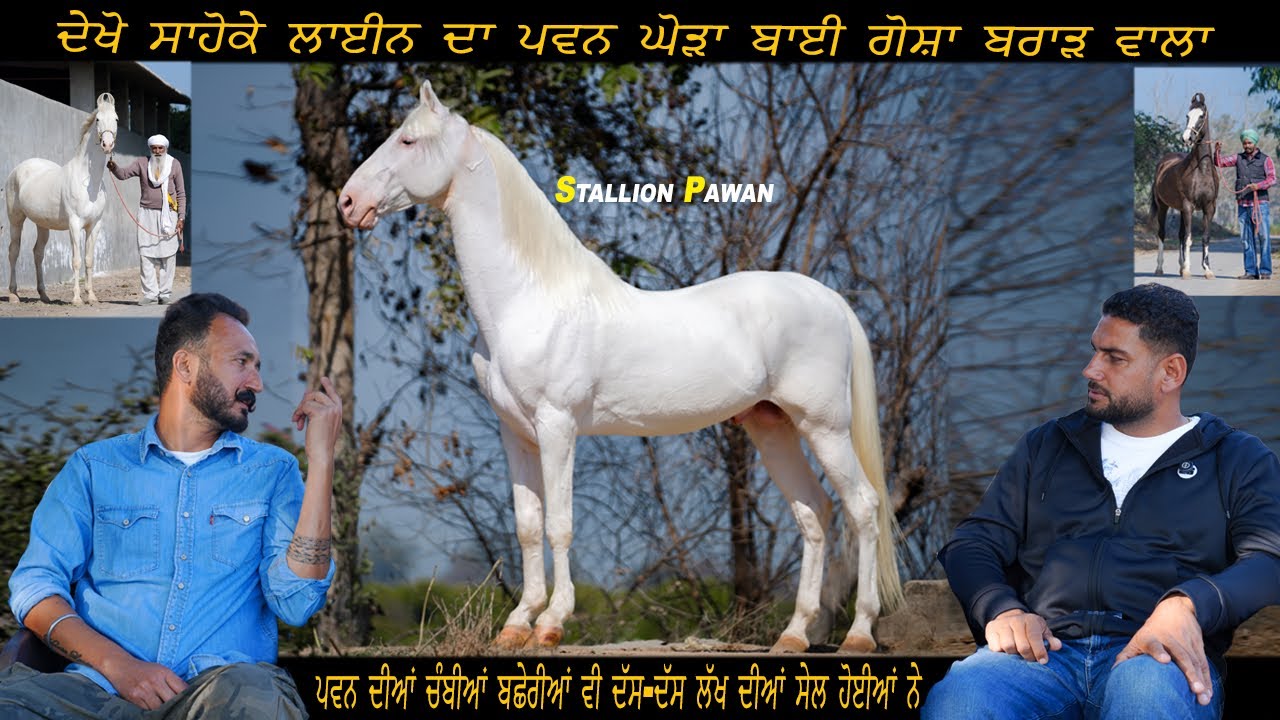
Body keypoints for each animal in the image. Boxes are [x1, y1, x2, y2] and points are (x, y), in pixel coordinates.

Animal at [5, 92, 118, 305]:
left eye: (116, 119)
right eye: (98, 120)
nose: (107, 145)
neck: (88, 181)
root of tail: (17, 169)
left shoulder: (94, 225)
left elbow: (89, 260)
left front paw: (92, 297)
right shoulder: (74, 224)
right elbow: (76, 261)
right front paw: (76, 299)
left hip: (42, 224)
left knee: (38, 253)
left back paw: (44, 295)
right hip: (16, 220)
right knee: (14, 251)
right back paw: (13, 295)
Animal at [338, 80, 904, 654]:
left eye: (408, 141)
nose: (348, 202)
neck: (529, 298)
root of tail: (830, 300)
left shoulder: (557, 426)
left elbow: (560, 524)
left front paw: (551, 623)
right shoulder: (515, 434)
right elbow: (528, 525)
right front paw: (517, 623)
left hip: (824, 426)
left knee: (863, 507)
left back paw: (859, 633)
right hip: (773, 426)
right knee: (814, 513)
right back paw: (792, 635)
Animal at [1151, 92, 1218, 279]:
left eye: (1201, 116)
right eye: (1188, 116)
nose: (1187, 138)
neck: (1201, 170)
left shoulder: (1209, 207)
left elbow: (1205, 237)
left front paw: (1207, 270)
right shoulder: (1188, 206)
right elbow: (1189, 237)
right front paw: (1188, 270)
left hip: (1180, 210)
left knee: (1180, 235)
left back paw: (1180, 267)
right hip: (1163, 206)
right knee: (1162, 233)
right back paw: (1159, 268)